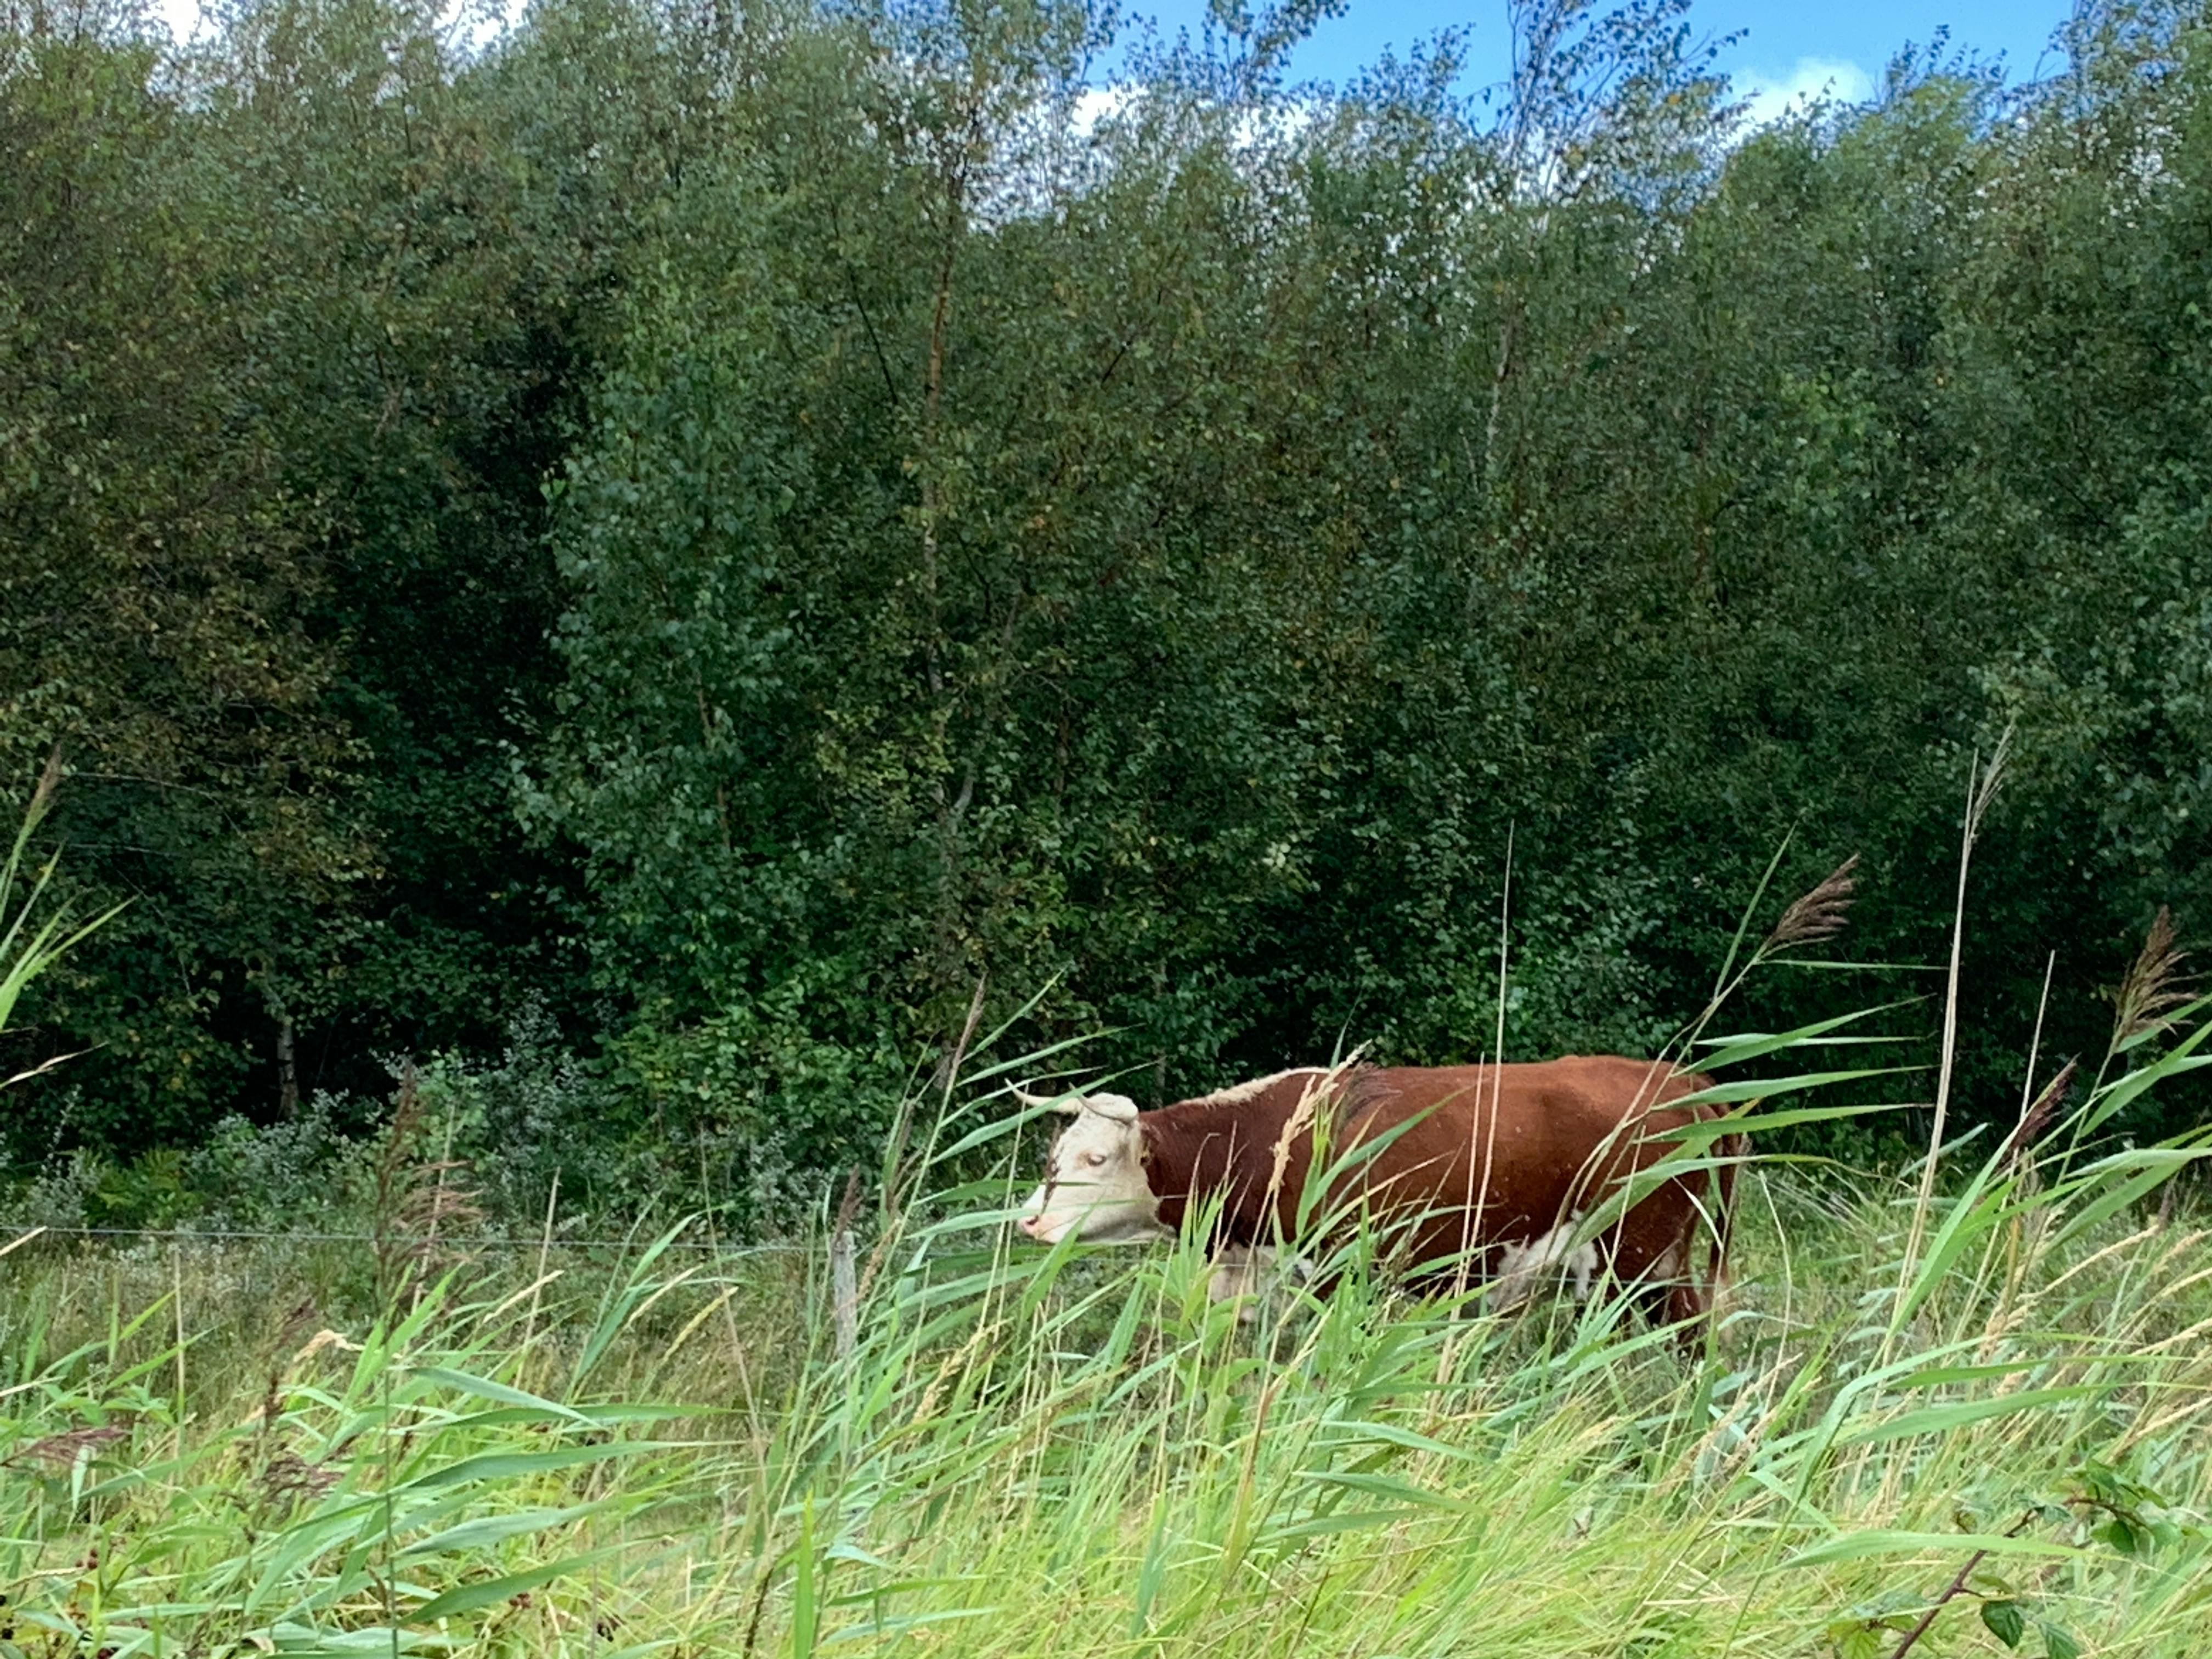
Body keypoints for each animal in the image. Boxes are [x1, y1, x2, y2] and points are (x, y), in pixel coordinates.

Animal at [1014, 1057, 1742, 1336]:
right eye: (1053, 1158)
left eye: (1096, 1158)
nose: (1032, 1221)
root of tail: (1680, 1078)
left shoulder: (1338, 1269)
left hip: (1639, 1257)